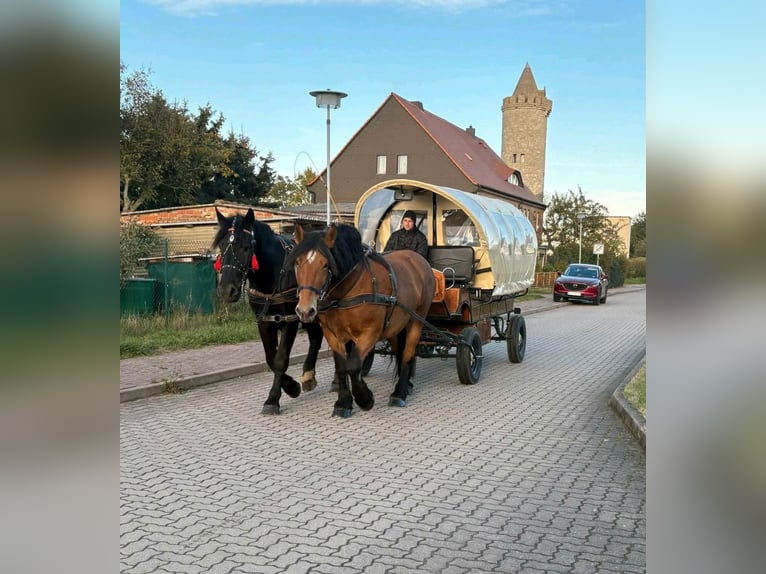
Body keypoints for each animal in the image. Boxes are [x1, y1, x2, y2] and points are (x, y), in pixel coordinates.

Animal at [214, 209, 338, 416]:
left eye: (246, 247)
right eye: (222, 247)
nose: (226, 290)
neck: (274, 273)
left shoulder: (291, 319)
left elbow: (280, 359)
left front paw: (274, 399)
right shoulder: (264, 320)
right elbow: (271, 358)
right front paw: (291, 386)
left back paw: (336, 380)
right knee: (316, 338)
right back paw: (308, 375)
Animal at [286, 223, 436, 416]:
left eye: (325, 265)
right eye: (298, 263)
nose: (305, 310)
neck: (347, 291)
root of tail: (418, 260)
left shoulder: (369, 333)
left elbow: (354, 364)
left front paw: (365, 398)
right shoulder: (333, 335)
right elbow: (342, 367)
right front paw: (343, 402)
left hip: (416, 320)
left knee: (408, 352)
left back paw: (399, 392)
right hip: (395, 326)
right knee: (400, 352)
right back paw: (406, 385)